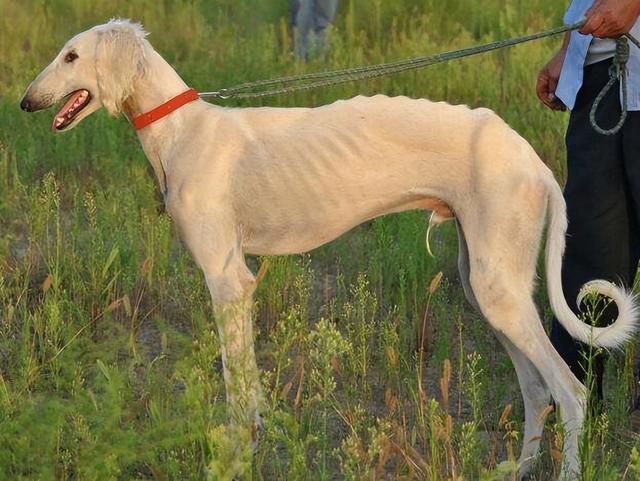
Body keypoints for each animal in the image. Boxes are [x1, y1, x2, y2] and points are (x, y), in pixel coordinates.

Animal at [21, 17, 640, 476]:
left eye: (71, 56)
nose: (26, 102)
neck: (183, 131)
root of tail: (532, 159)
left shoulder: (227, 280)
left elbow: (236, 389)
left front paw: (236, 458)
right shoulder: (238, 282)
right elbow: (248, 388)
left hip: (499, 288)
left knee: (570, 392)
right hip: (486, 284)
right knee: (537, 390)